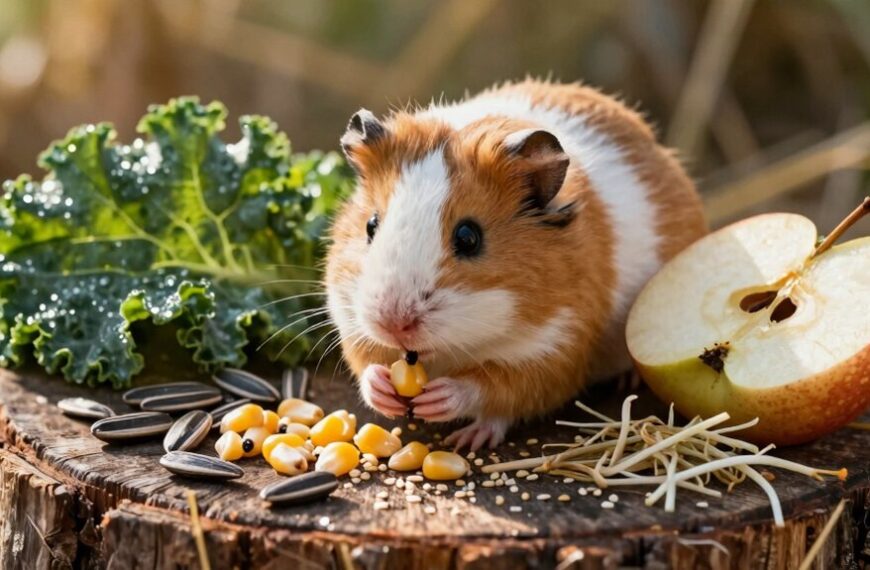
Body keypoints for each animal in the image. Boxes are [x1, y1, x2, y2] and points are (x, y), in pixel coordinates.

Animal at [325, 79, 706, 450]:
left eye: (469, 237)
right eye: (370, 225)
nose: (393, 324)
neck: (453, 349)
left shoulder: (557, 348)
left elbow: (496, 391)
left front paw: (454, 425)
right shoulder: (350, 320)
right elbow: (366, 365)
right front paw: (384, 391)